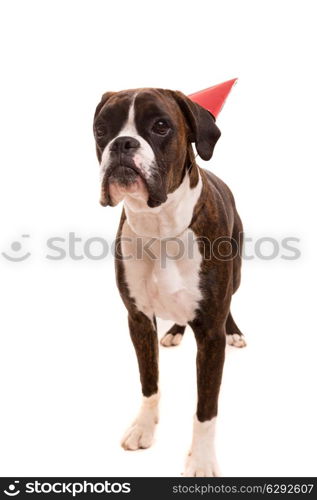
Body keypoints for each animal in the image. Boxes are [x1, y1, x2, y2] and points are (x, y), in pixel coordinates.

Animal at [91, 89, 244, 476]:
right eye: (101, 130)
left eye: (161, 126)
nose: (122, 143)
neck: (159, 225)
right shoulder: (139, 320)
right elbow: (150, 381)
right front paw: (144, 428)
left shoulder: (210, 336)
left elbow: (206, 408)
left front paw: (201, 459)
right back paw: (175, 331)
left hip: (236, 275)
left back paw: (235, 331)